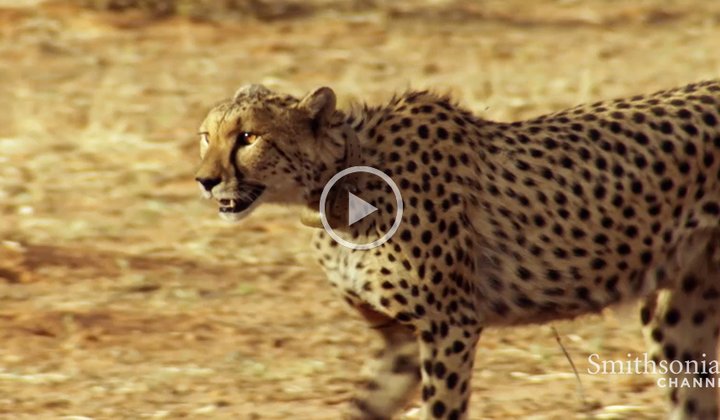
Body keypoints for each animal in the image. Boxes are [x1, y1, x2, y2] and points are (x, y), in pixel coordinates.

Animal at [195, 80, 720, 418]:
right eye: (206, 135)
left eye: (248, 137)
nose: (205, 180)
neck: (341, 183)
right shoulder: (400, 339)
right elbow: (362, 407)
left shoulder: (450, 325)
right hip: (678, 327)